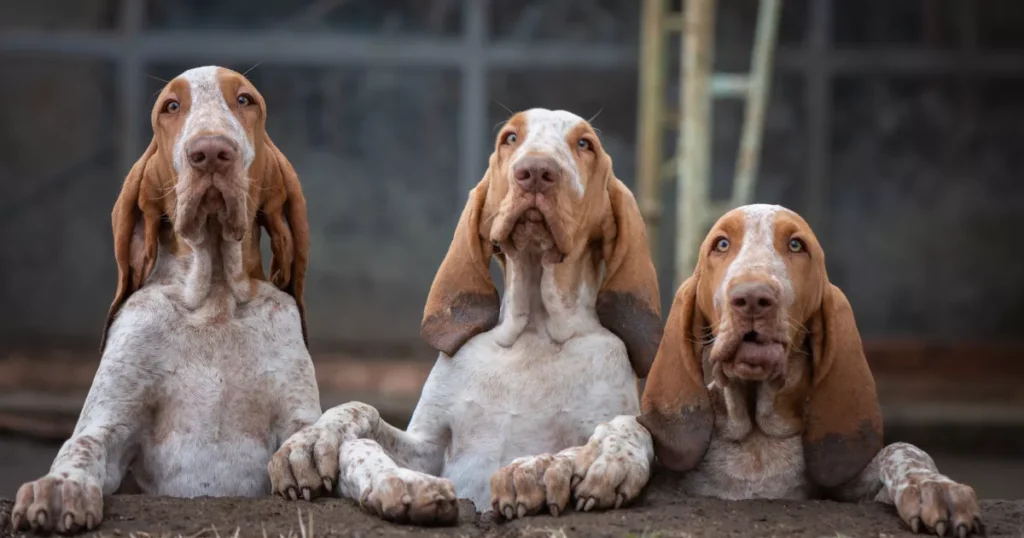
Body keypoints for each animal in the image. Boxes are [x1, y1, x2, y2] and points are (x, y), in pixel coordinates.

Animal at [9, 66, 317, 532]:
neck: (214, 298)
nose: (211, 152)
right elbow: (82, 445)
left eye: (245, 101)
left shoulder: (297, 412)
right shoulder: (109, 421)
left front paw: (307, 455)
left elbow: (313, 433)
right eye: (171, 107)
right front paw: (60, 487)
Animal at [268, 109, 659, 524]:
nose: (536, 171)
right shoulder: (428, 446)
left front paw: (557, 466)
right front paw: (311, 441)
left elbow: (627, 428)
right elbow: (360, 408)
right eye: (510, 138)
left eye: (585, 144)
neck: (534, 329)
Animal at [630, 203, 983, 532]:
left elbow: (902, 450)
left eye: (796, 245)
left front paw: (934, 487)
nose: (752, 298)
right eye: (721, 244)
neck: (757, 439)